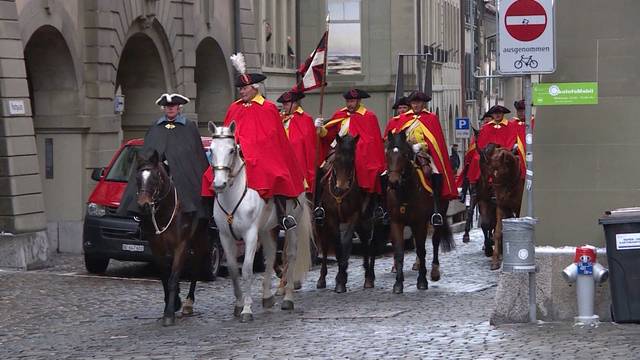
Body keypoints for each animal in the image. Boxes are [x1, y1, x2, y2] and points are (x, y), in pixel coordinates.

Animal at [136, 149, 210, 326]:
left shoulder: (181, 245)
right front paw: (173, 302)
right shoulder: (156, 248)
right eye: (137, 179)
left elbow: (173, 277)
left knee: (196, 265)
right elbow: (164, 276)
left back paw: (189, 303)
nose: (143, 206)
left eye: (154, 178)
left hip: (199, 237)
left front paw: (169, 313)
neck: (166, 211)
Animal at [208, 122, 312, 322]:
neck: (233, 197)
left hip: (292, 223)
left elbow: (247, 269)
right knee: (270, 255)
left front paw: (247, 309)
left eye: (232, 150)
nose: (219, 184)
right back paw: (267, 297)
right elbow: (233, 270)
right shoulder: (225, 236)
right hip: (266, 229)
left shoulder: (250, 235)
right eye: (211, 150)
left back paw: (288, 298)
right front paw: (238, 304)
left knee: (291, 255)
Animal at [316, 134, 380, 292]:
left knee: (368, 243)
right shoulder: (331, 218)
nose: (341, 187)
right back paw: (322, 278)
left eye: (352, 160)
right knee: (325, 246)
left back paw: (369, 276)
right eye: (337, 159)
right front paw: (340, 278)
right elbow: (338, 245)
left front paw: (341, 278)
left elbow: (346, 243)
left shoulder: (353, 217)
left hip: (366, 220)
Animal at [384, 131, 456, 294]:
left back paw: (434, 271)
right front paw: (398, 283)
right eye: (387, 154)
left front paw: (422, 281)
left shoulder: (420, 222)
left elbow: (423, 250)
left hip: (437, 217)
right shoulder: (396, 222)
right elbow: (399, 251)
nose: (393, 182)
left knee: (434, 241)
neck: (405, 192)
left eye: (404, 154)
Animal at [478, 141, 524, 270]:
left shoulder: (518, 207)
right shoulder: (501, 207)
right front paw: (495, 260)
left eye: (500, 171)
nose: (494, 197)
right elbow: (498, 231)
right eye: (487, 170)